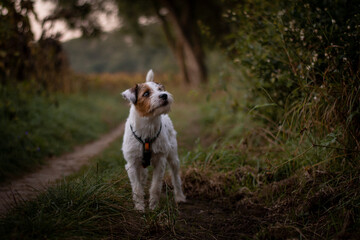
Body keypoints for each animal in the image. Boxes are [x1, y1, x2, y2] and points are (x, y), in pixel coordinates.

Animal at [122, 70, 187, 212]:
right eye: (146, 93)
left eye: (160, 89)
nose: (164, 95)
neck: (148, 125)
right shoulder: (132, 164)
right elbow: (136, 187)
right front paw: (139, 207)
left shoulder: (160, 161)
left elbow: (156, 186)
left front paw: (153, 206)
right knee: (143, 176)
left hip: (173, 158)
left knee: (176, 178)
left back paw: (179, 197)